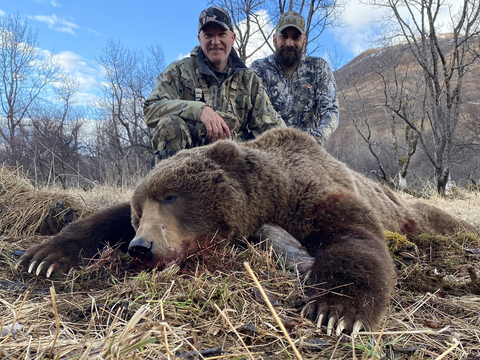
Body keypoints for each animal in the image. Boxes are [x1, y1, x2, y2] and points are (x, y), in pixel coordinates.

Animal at [17, 127, 472, 334]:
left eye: (172, 196)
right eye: (137, 209)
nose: (141, 247)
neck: (273, 193)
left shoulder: (318, 196)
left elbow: (355, 239)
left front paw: (336, 311)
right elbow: (100, 218)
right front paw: (44, 257)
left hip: (416, 215)